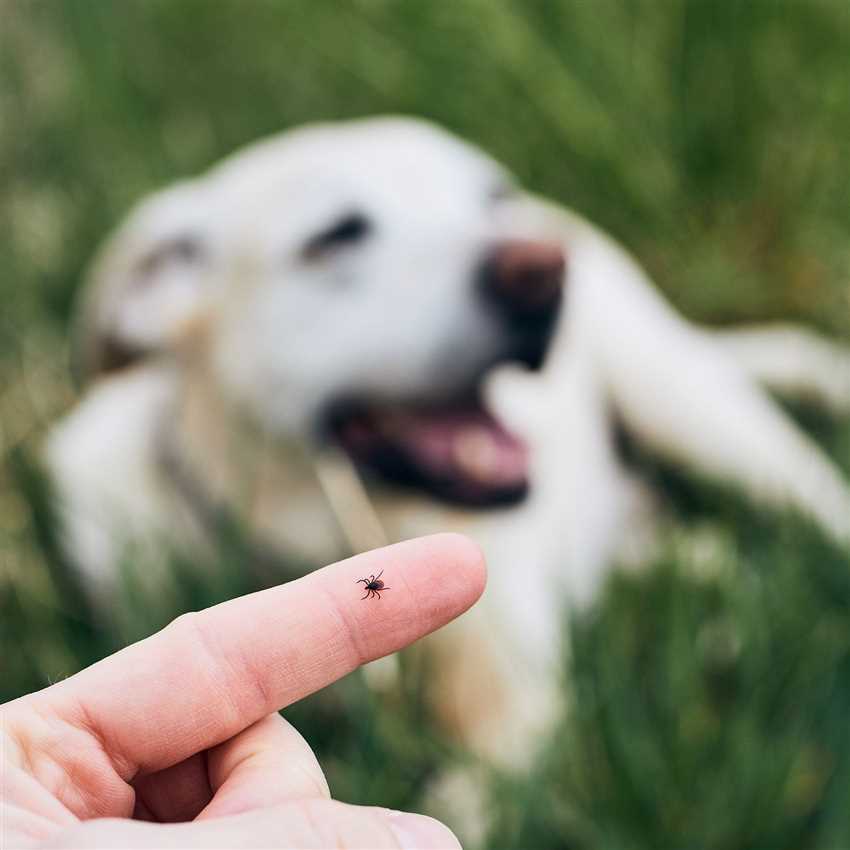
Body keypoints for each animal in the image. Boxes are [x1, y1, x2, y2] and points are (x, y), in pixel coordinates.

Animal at [48, 116, 850, 764]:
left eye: (490, 196)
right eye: (336, 235)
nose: (542, 268)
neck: (315, 534)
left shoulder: (513, 713)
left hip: (684, 403)